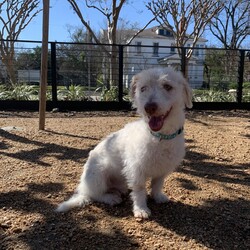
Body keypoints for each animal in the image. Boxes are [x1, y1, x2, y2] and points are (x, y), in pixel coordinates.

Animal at [57, 67, 193, 218]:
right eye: (143, 88)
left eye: (167, 86)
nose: (149, 107)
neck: (160, 137)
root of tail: (83, 188)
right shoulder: (136, 170)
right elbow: (139, 190)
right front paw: (141, 209)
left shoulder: (162, 170)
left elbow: (157, 185)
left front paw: (157, 197)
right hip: (99, 173)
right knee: (94, 195)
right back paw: (111, 198)